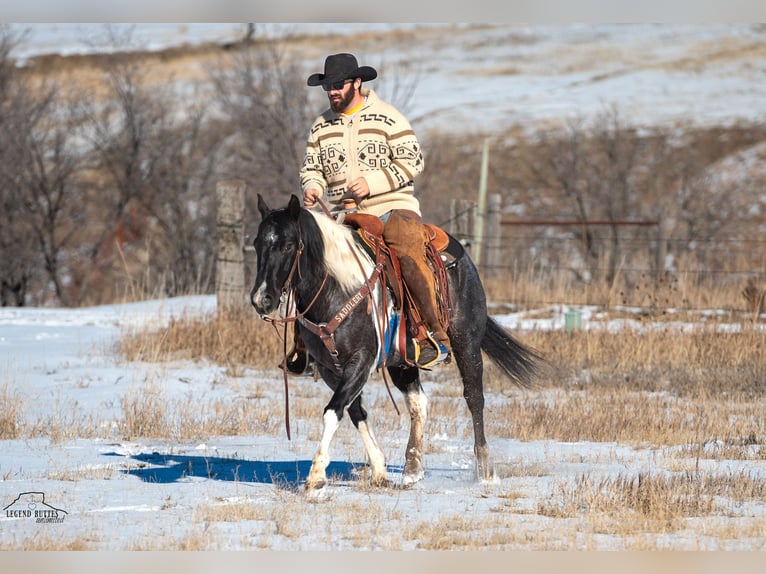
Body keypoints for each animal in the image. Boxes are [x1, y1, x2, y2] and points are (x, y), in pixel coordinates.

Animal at [250, 196, 540, 492]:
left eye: (288, 245)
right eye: (257, 243)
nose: (262, 299)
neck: (337, 288)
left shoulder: (361, 360)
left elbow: (333, 411)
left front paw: (316, 476)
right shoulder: (331, 368)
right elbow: (354, 411)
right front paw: (379, 470)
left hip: (467, 344)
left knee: (474, 398)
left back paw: (485, 471)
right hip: (402, 361)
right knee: (419, 403)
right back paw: (412, 469)